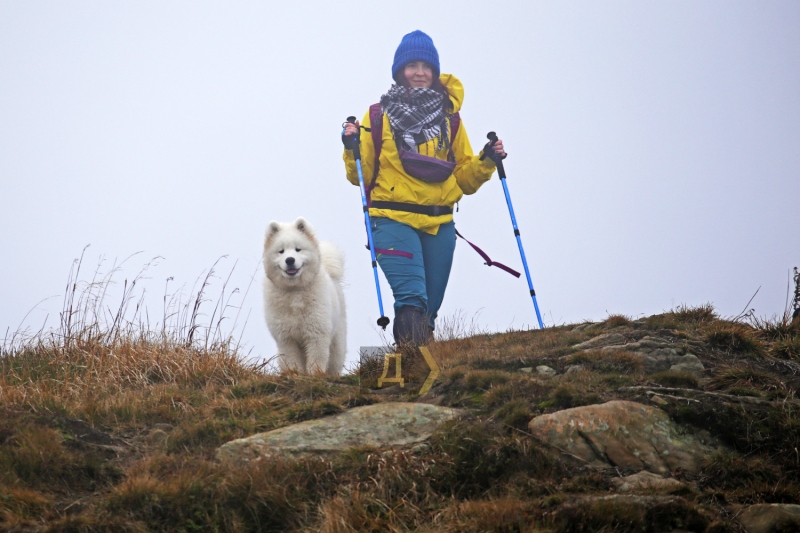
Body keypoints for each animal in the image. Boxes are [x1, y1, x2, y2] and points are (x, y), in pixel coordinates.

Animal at [262, 216, 346, 374]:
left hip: (336, 342)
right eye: (281, 251)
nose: (290, 260)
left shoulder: (316, 334)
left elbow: (316, 360)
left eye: (298, 249)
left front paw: (315, 375)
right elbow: (292, 361)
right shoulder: (286, 338)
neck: (295, 291)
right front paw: (295, 374)